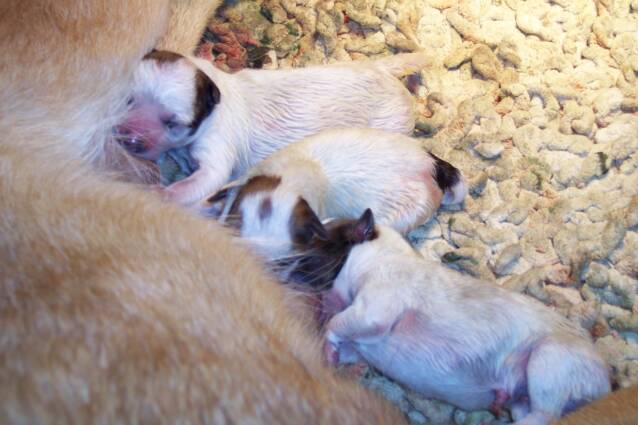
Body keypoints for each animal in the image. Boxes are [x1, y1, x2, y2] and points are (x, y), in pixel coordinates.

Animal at [117, 48, 432, 205]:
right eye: (128, 100)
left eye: (172, 122)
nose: (129, 139)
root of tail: (380, 69)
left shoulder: (217, 150)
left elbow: (203, 180)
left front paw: (159, 194)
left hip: (393, 124)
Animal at [322, 210, 612, 424]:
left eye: (320, 232)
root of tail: (608, 384)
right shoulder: (358, 345)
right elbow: (345, 343)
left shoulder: (373, 312)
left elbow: (335, 324)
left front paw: (328, 342)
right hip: (522, 398)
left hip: (547, 360)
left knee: (546, 416)